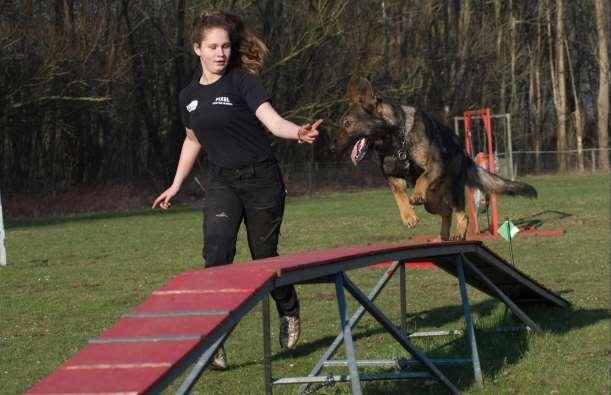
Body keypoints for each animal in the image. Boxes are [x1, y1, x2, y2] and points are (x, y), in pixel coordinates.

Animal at [332, 76, 536, 240]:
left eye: (347, 124)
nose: (332, 147)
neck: (397, 140)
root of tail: (464, 153)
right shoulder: (393, 177)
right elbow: (399, 196)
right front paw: (408, 216)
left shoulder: (435, 165)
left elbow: (422, 177)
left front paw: (415, 195)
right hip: (432, 202)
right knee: (446, 212)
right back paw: (442, 235)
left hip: (452, 191)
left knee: (462, 214)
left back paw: (458, 232)